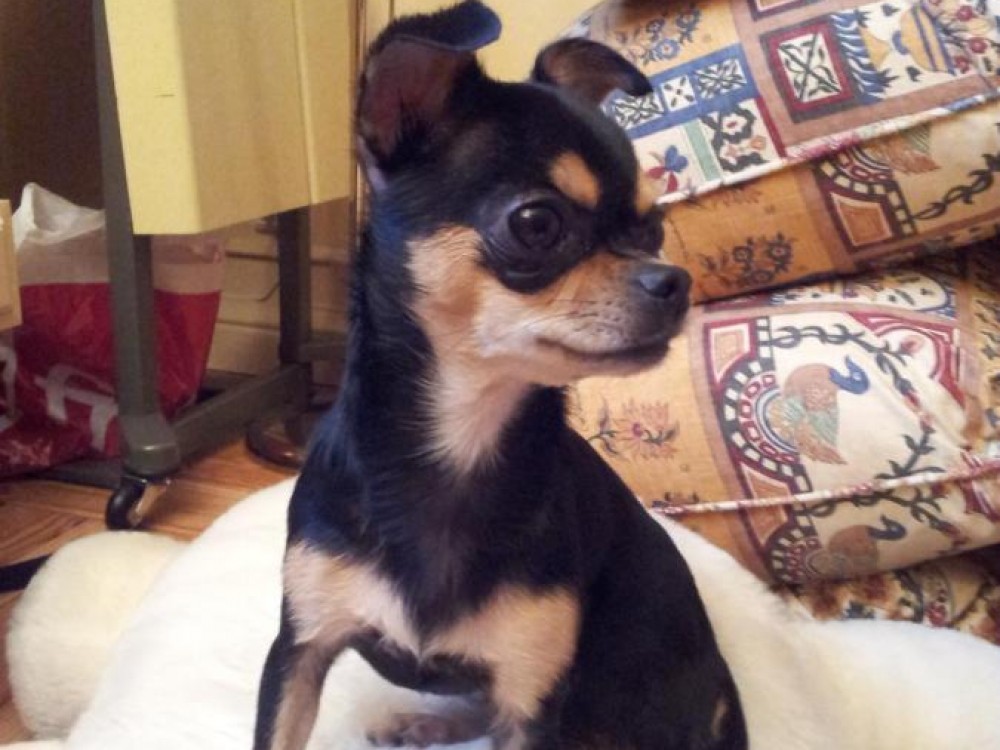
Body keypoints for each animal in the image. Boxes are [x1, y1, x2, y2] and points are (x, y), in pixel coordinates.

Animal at [253, 2, 746, 748]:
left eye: (653, 230)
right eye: (537, 223)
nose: (674, 282)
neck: (460, 443)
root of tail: (724, 690)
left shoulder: (532, 696)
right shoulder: (297, 651)